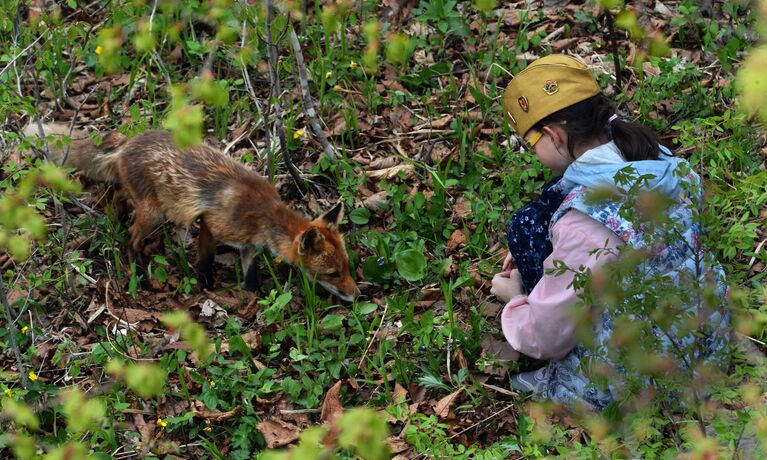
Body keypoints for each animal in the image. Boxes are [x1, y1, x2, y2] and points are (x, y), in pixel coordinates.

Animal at [24, 123, 358, 302]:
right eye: (333, 273)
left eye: (348, 267)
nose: (357, 295)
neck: (262, 214)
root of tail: (127, 142)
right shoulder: (211, 224)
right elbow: (206, 259)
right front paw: (206, 285)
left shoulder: (249, 245)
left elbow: (249, 272)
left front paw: (253, 295)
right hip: (154, 213)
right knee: (132, 240)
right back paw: (140, 276)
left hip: (140, 198)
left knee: (117, 196)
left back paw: (115, 219)